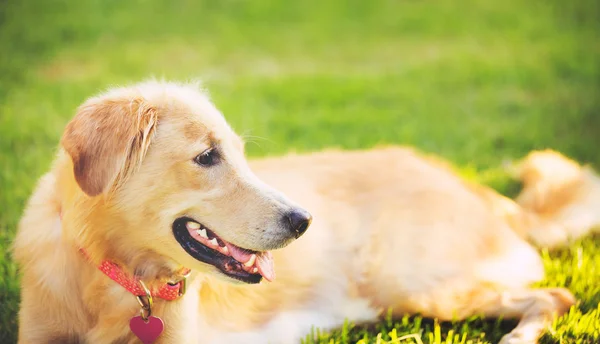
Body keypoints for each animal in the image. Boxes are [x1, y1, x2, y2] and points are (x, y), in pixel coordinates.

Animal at [14, 81, 600, 344]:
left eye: (241, 154)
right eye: (207, 157)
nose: (303, 222)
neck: (115, 279)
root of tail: (473, 187)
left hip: (418, 284)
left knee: (556, 295)